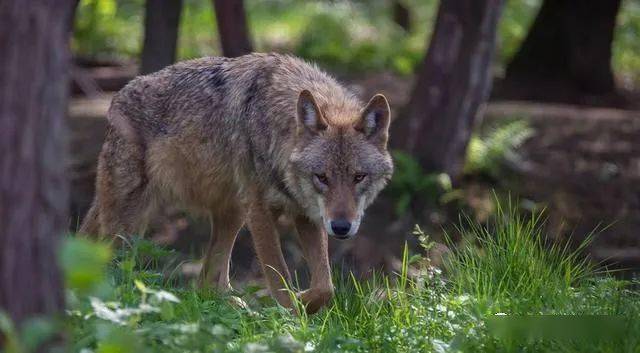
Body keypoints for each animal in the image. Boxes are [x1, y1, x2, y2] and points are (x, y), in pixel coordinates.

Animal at [80, 51, 390, 310]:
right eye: (322, 177)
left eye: (358, 177)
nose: (341, 227)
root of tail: (116, 98)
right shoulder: (260, 211)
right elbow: (279, 276)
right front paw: (293, 317)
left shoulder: (305, 214)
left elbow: (325, 286)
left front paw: (305, 302)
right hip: (129, 226)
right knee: (109, 272)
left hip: (233, 214)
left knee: (205, 283)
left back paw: (234, 305)